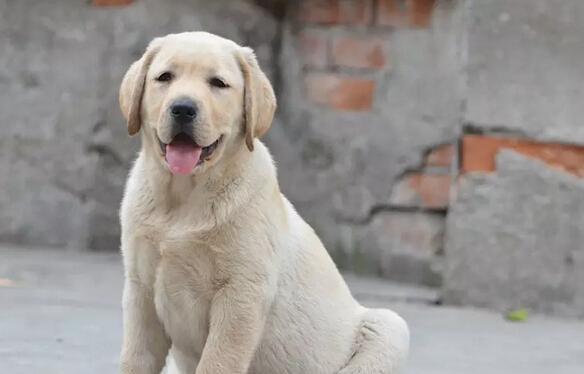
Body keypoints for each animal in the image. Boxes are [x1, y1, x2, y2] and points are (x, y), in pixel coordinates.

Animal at [117, 31, 410, 374]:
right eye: (164, 77)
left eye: (218, 83)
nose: (183, 108)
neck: (182, 198)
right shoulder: (140, 289)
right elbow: (135, 359)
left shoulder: (242, 294)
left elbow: (218, 361)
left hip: (388, 326)